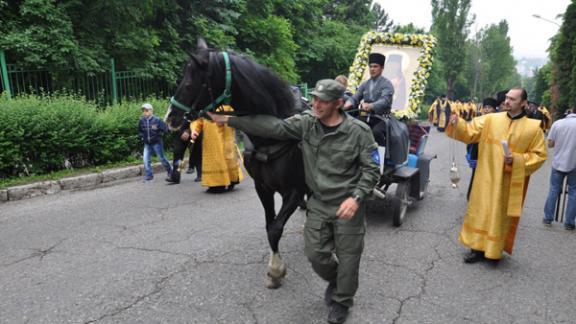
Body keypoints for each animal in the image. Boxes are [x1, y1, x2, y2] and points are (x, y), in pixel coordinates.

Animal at [164, 38, 308, 288]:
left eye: (190, 84)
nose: (169, 118)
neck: (275, 131)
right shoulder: (263, 188)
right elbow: (270, 225)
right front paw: (275, 269)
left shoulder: (295, 190)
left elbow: (275, 228)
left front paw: (276, 270)